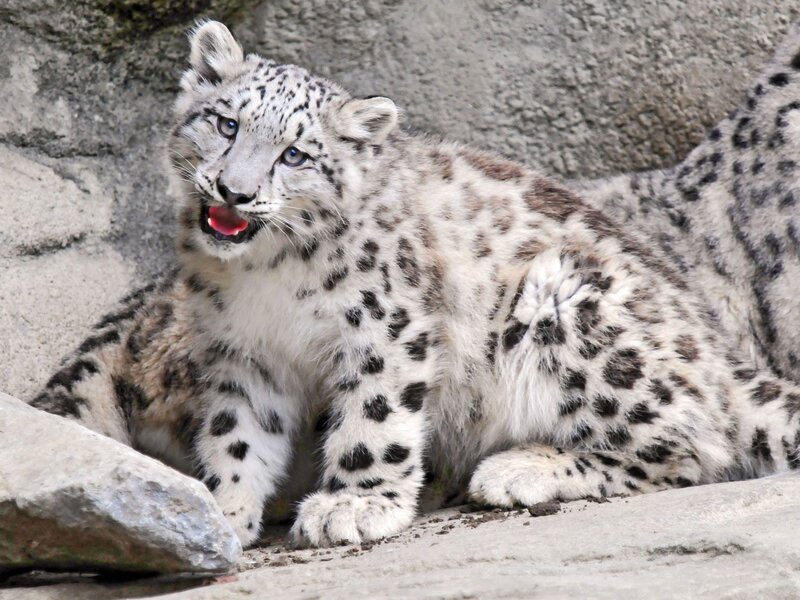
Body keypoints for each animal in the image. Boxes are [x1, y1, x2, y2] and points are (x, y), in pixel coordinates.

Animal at [30, 20, 800, 549]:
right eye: (224, 123)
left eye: (296, 154)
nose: (235, 191)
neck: (265, 279)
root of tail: (717, 353)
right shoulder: (244, 354)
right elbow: (237, 434)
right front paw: (219, 511)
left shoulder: (385, 325)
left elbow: (375, 420)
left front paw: (353, 505)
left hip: (567, 307)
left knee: (696, 444)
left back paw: (518, 470)